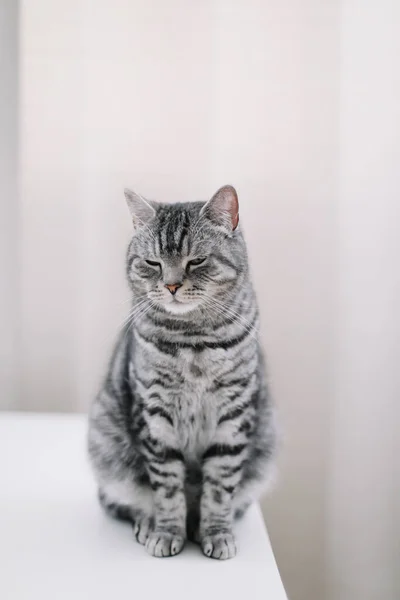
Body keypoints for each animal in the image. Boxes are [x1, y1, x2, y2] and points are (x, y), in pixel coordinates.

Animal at [88, 185, 276, 560]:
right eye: (153, 263)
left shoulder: (234, 412)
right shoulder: (155, 413)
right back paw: (149, 523)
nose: (172, 286)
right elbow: (167, 490)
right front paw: (166, 532)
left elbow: (219, 488)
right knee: (132, 500)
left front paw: (216, 533)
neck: (194, 341)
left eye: (196, 261)